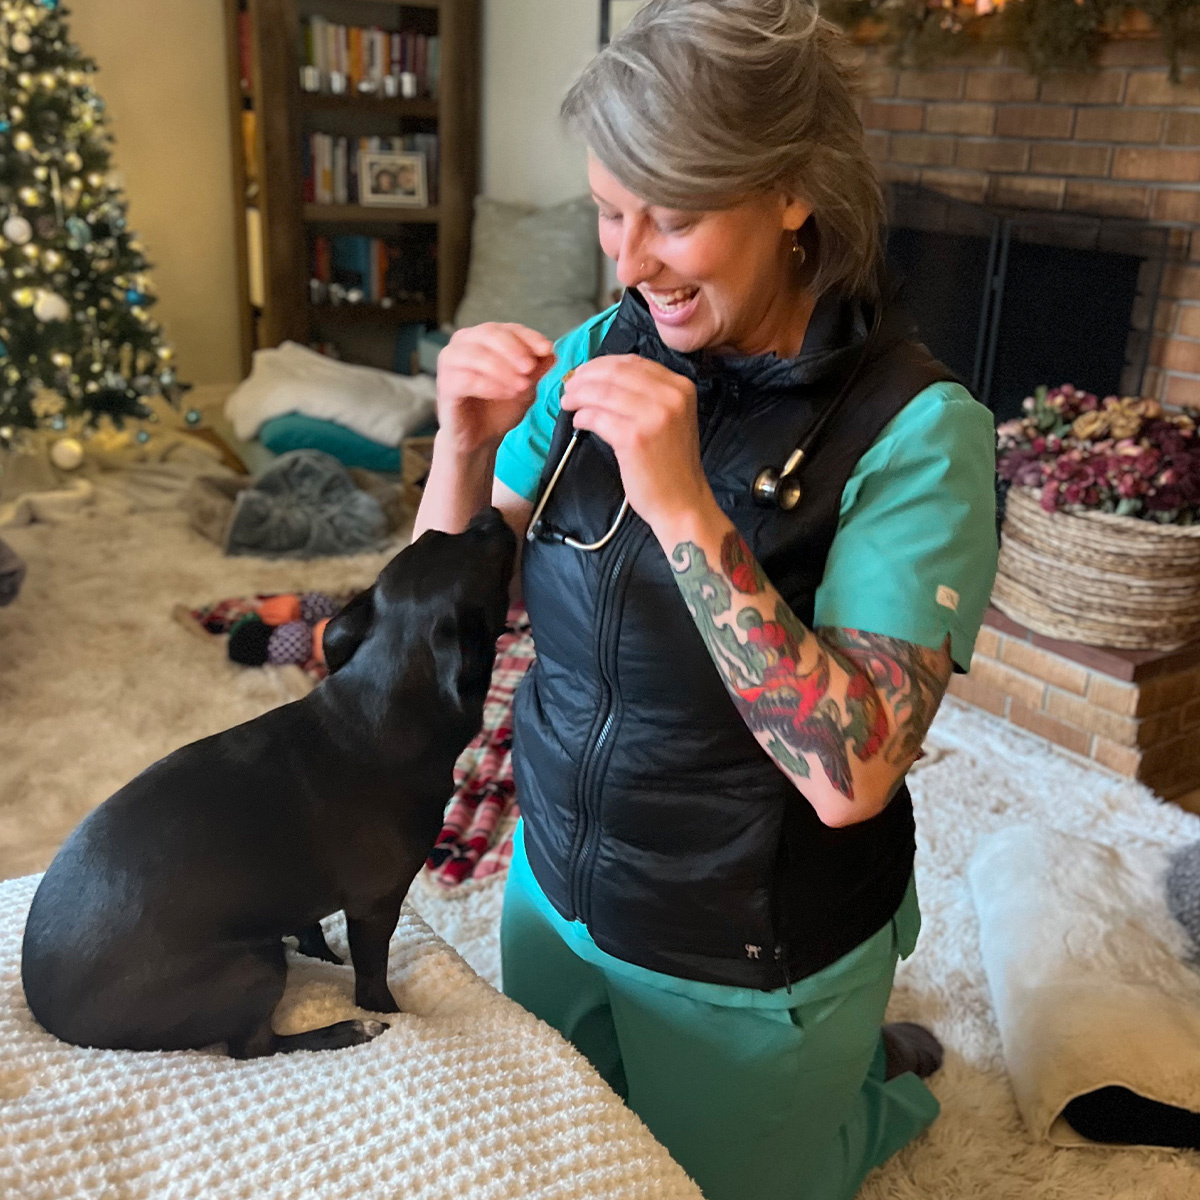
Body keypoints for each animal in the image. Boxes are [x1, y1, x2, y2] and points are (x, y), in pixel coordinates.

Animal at [19, 511, 516, 1056]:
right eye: (492, 561)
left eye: (434, 536)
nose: (490, 515)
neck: (377, 700)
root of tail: (58, 1025)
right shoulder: (376, 906)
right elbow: (372, 980)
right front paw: (386, 1012)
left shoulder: (298, 892)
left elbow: (311, 928)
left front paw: (324, 957)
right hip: (256, 963)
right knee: (254, 1046)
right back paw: (348, 1030)